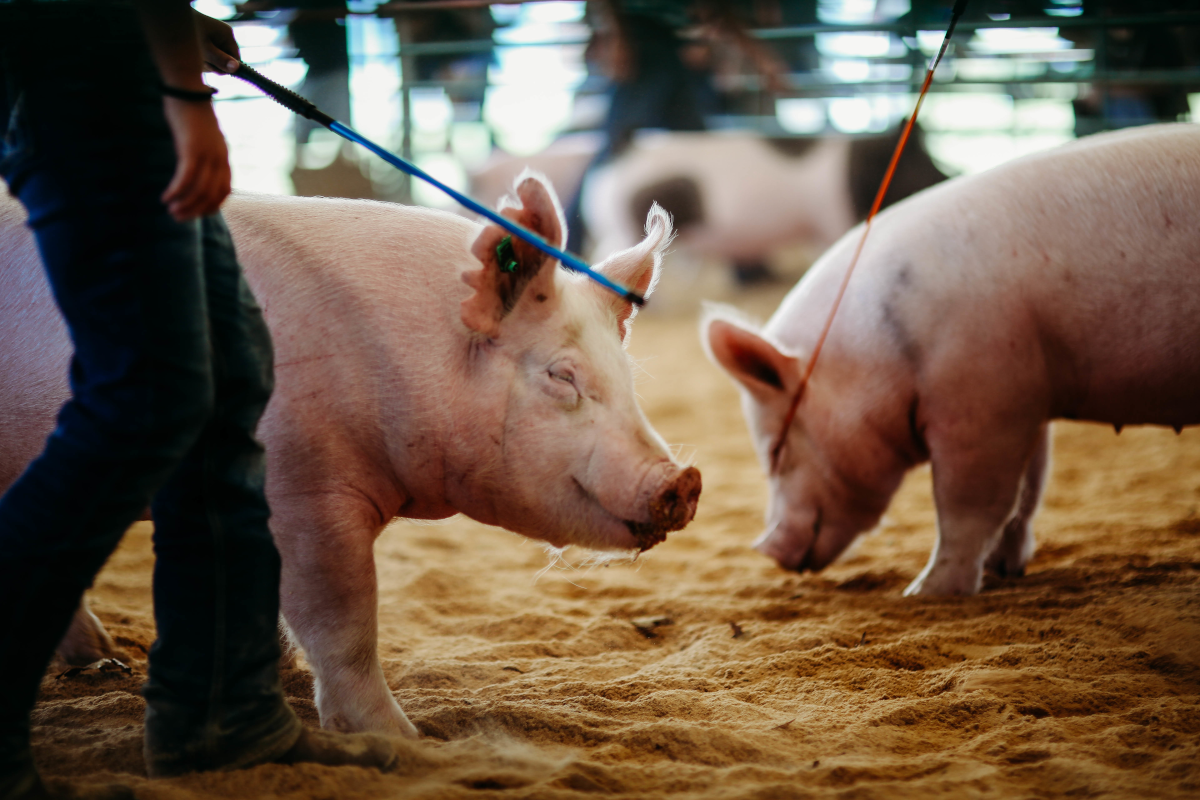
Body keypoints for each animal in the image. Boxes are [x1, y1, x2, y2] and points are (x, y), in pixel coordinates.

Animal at [0, 173, 701, 735]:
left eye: (627, 375)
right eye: (562, 376)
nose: (686, 480)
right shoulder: (303, 490)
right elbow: (344, 618)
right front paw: (401, 741)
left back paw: (103, 662)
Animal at [703, 123, 1200, 597]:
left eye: (774, 449)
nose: (765, 547)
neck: (875, 348)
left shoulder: (979, 403)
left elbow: (968, 505)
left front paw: (924, 593)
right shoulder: (1027, 390)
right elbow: (1028, 489)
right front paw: (1003, 570)